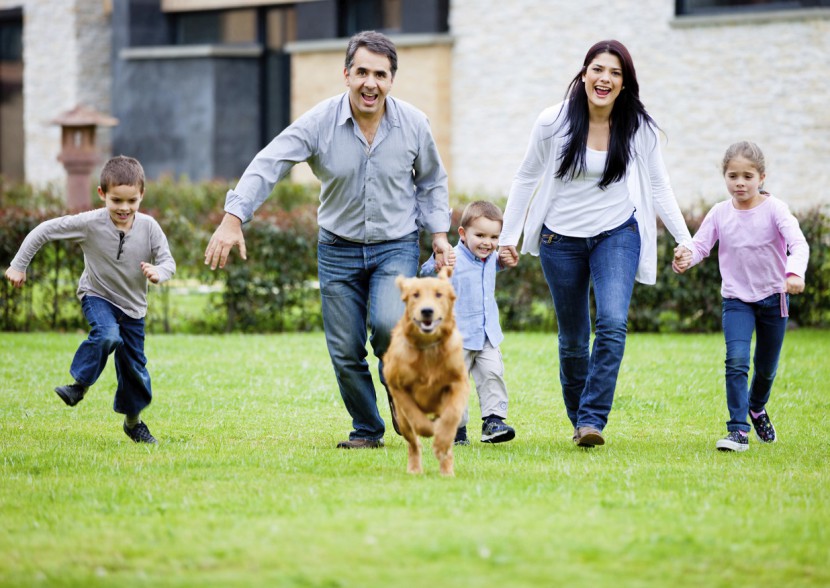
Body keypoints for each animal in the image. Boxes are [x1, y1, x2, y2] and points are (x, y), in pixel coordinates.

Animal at [382, 264, 468, 476]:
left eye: (439, 294)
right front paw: (429, 429)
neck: (429, 347)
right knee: (413, 444)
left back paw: (447, 471)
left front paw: (441, 442)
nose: (427, 311)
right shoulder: (397, 386)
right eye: (415, 295)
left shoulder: (459, 382)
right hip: (402, 422)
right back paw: (415, 468)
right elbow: (415, 415)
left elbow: (452, 415)